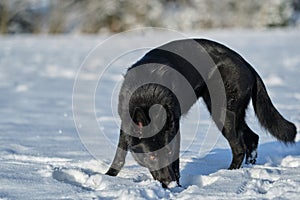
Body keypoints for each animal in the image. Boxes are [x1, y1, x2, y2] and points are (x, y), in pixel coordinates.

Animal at [106, 38, 298, 188]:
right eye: (152, 157)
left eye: (168, 153)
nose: (170, 184)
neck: (146, 96)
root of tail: (246, 64)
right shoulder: (125, 125)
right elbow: (119, 155)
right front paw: (109, 177)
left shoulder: (175, 133)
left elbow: (175, 164)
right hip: (232, 114)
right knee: (253, 138)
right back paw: (248, 168)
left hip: (222, 113)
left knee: (239, 148)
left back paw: (229, 175)